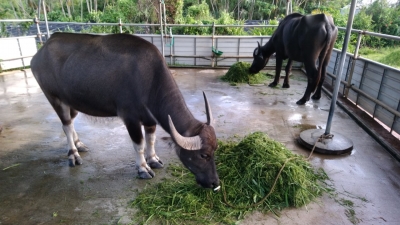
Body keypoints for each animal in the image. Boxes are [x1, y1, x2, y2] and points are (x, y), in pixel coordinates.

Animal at [30, 32, 219, 190]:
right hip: (55, 98)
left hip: (72, 103)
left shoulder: (150, 119)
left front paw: (153, 160)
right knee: (66, 125)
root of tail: (39, 53)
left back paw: (79, 144)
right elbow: (139, 144)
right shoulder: (130, 118)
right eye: (203, 155)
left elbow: (151, 140)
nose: (215, 183)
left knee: (70, 122)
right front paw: (143, 169)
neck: (150, 79)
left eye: (215, 151)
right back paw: (73, 155)